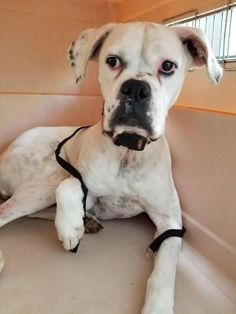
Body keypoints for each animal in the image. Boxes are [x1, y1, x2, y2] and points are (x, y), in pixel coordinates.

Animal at [0, 22, 222, 314]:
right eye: (112, 61)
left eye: (168, 66)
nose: (136, 88)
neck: (127, 151)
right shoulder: (82, 186)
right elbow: (70, 184)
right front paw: (70, 227)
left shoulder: (171, 223)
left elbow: (164, 269)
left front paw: (158, 305)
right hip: (45, 178)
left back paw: (88, 222)